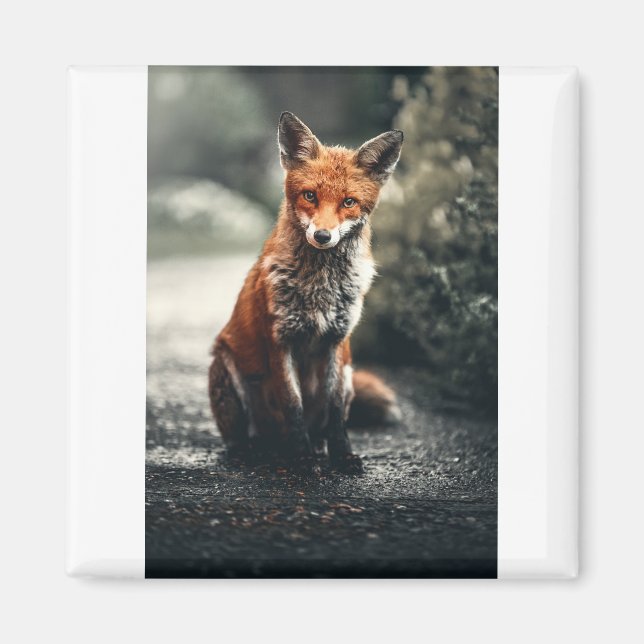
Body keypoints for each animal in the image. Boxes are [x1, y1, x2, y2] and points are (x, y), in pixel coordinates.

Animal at [208, 112, 403, 473]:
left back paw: (317, 447)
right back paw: (255, 451)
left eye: (349, 202)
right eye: (310, 196)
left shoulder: (337, 342)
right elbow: (293, 405)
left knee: (322, 426)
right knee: (242, 438)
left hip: (350, 373)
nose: (323, 236)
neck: (320, 287)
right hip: (226, 368)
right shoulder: (280, 340)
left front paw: (342, 455)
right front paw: (300, 458)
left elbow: (336, 412)